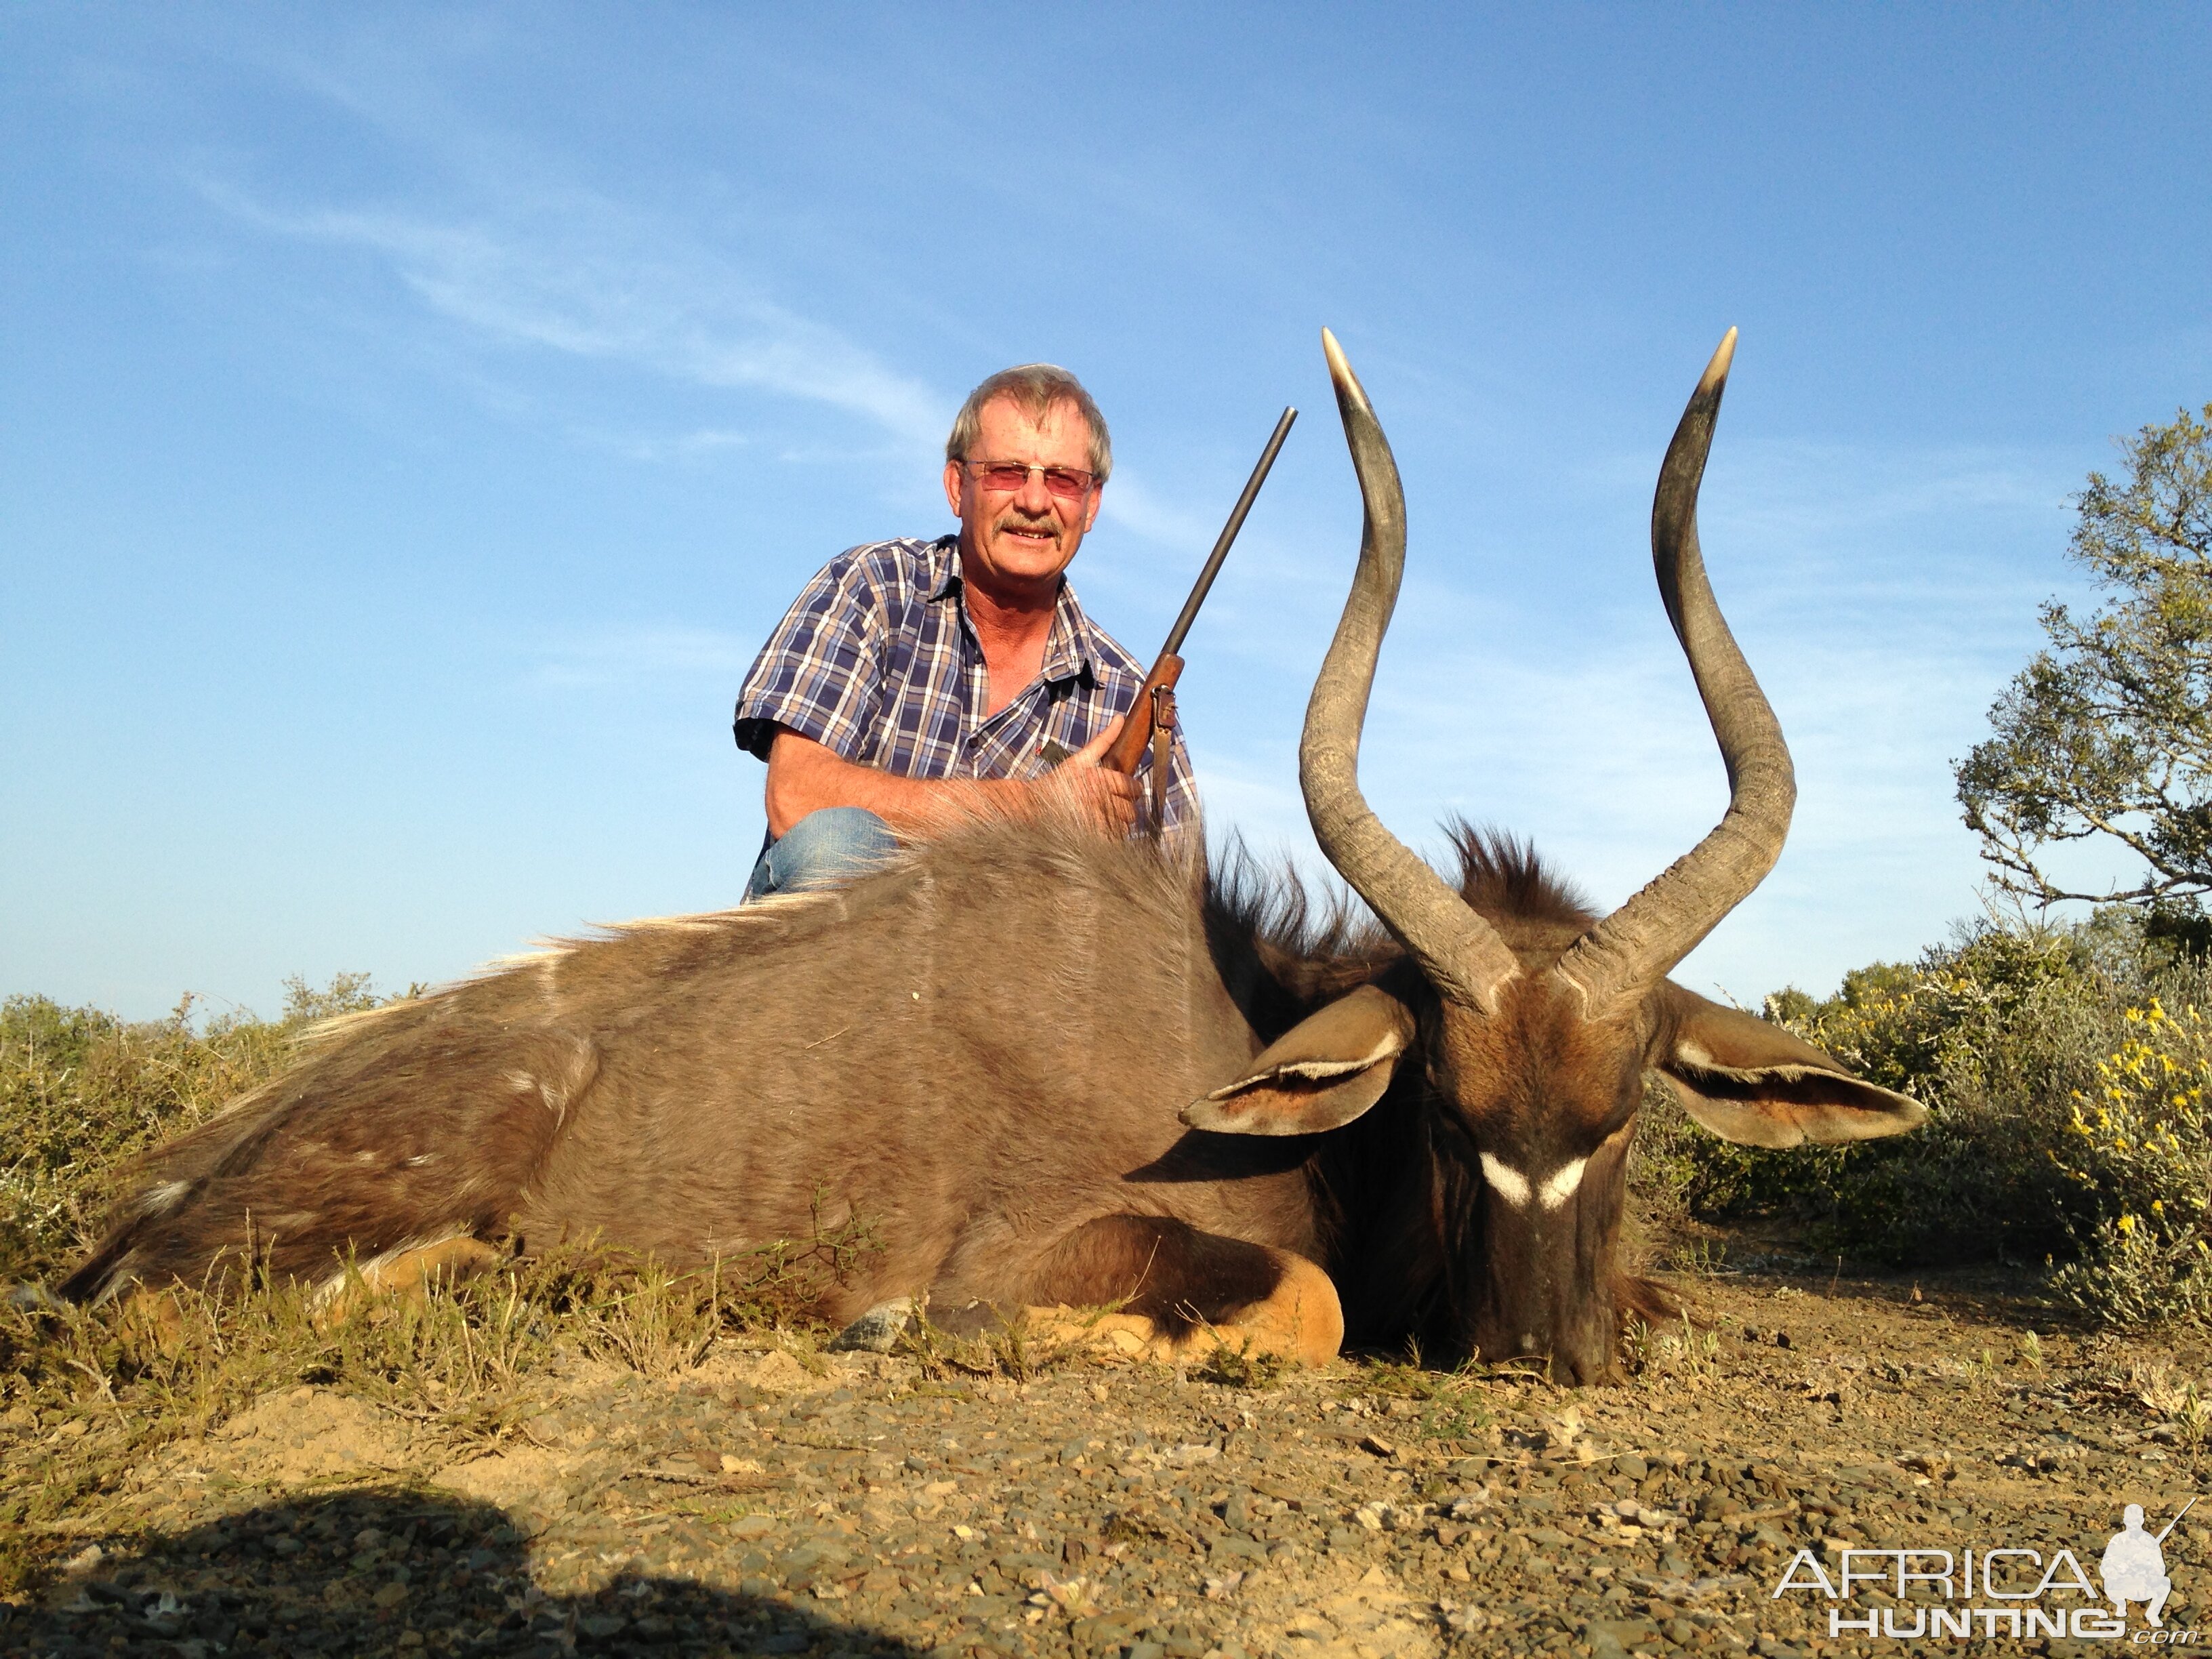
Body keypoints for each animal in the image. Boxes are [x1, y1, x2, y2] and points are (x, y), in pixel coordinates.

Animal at [64, 331, 1920, 1380]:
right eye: (1451, 1117)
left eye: (1623, 1122)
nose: (1538, 1359)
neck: (1232, 1027)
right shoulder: (1048, 1242)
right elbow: (1298, 1310)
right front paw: (897, 1328)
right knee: (168, 1316)